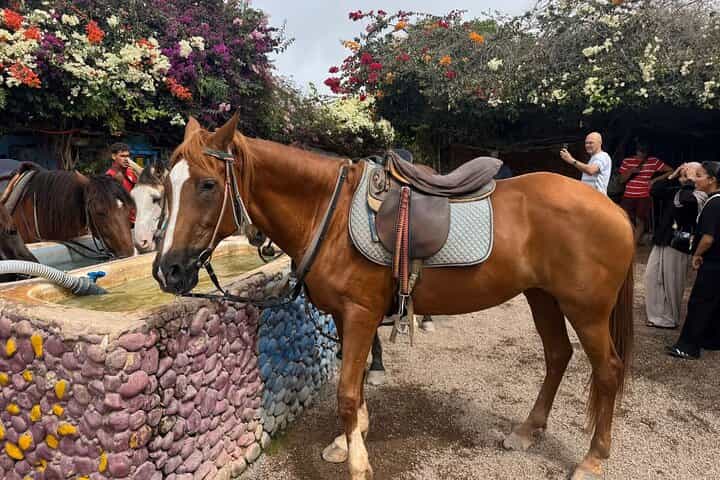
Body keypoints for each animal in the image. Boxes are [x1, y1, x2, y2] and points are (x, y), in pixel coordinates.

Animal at [153, 114, 634, 480]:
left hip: (586, 310)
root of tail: (614, 210)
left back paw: (593, 458)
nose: (166, 269)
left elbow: (347, 391)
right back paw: (527, 430)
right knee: (557, 356)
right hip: (542, 297)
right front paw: (349, 440)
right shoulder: (346, 316)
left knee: (607, 370)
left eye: (207, 185)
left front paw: (358, 463)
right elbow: (358, 384)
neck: (329, 214)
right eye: (166, 189)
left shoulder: (361, 313)